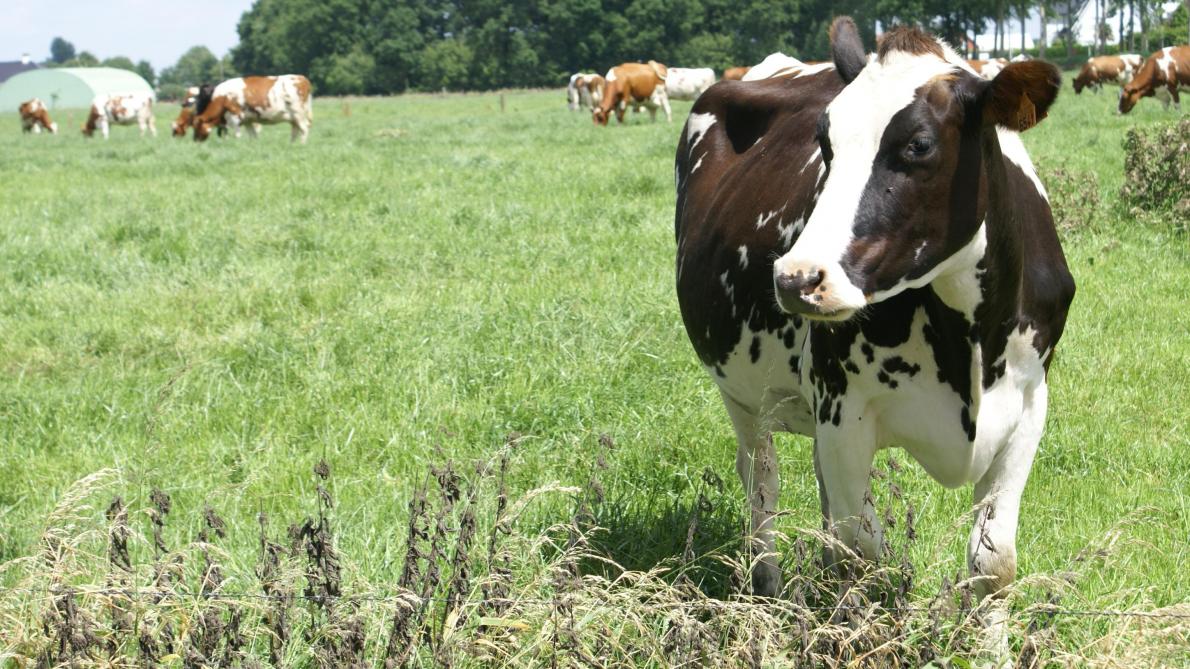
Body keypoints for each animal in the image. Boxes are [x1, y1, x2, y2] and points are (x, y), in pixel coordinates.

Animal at [674, 17, 1073, 650]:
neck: (969, 338)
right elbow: (861, 552)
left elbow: (993, 563)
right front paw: (859, 639)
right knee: (762, 481)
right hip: (744, 394)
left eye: (918, 145)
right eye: (825, 143)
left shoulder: (1029, 405)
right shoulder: (845, 409)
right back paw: (767, 588)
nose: (796, 278)